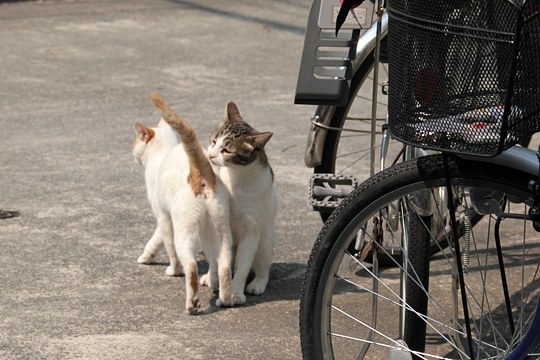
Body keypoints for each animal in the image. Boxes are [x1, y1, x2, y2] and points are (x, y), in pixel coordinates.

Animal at [133, 92, 234, 312]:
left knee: (191, 265)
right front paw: (148, 256)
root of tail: (199, 170)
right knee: (223, 265)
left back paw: (193, 303)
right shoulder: (165, 216)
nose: (132, 152)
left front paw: (172, 269)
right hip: (219, 230)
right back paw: (225, 298)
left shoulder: (163, 217)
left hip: (185, 231)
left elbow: (167, 245)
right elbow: (156, 240)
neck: (162, 151)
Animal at [206, 102, 276, 306]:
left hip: (265, 240)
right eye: (214, 141)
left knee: (262, 266)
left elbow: (243, 266)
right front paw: (218, 282)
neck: (237, 178)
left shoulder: (251, 230)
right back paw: (210, 277)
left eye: (227, 150)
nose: (210, 155)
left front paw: (235, 293)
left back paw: (258, 283)